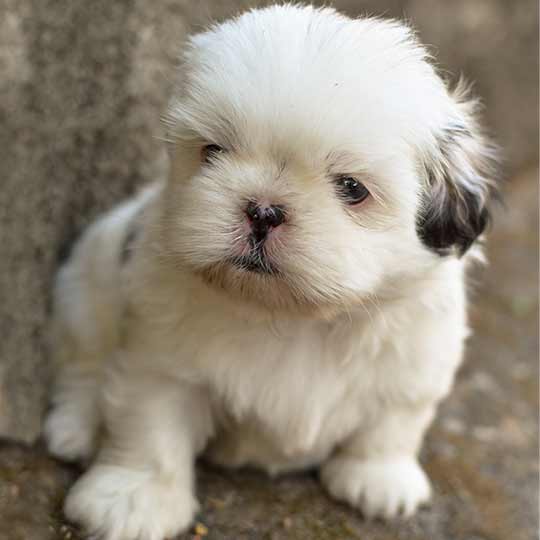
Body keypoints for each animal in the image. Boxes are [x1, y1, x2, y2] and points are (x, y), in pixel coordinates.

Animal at [43, 5, 498, 540]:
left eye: (352, 188)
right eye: (213, 151)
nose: (262, 210)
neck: (293, 316)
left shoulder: (417, 358)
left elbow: (393, 422)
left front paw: (379, 478)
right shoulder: (160, 361)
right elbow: (150, 426)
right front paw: (134, 499)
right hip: (88, 280)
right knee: (83, 361)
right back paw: (74, 427)